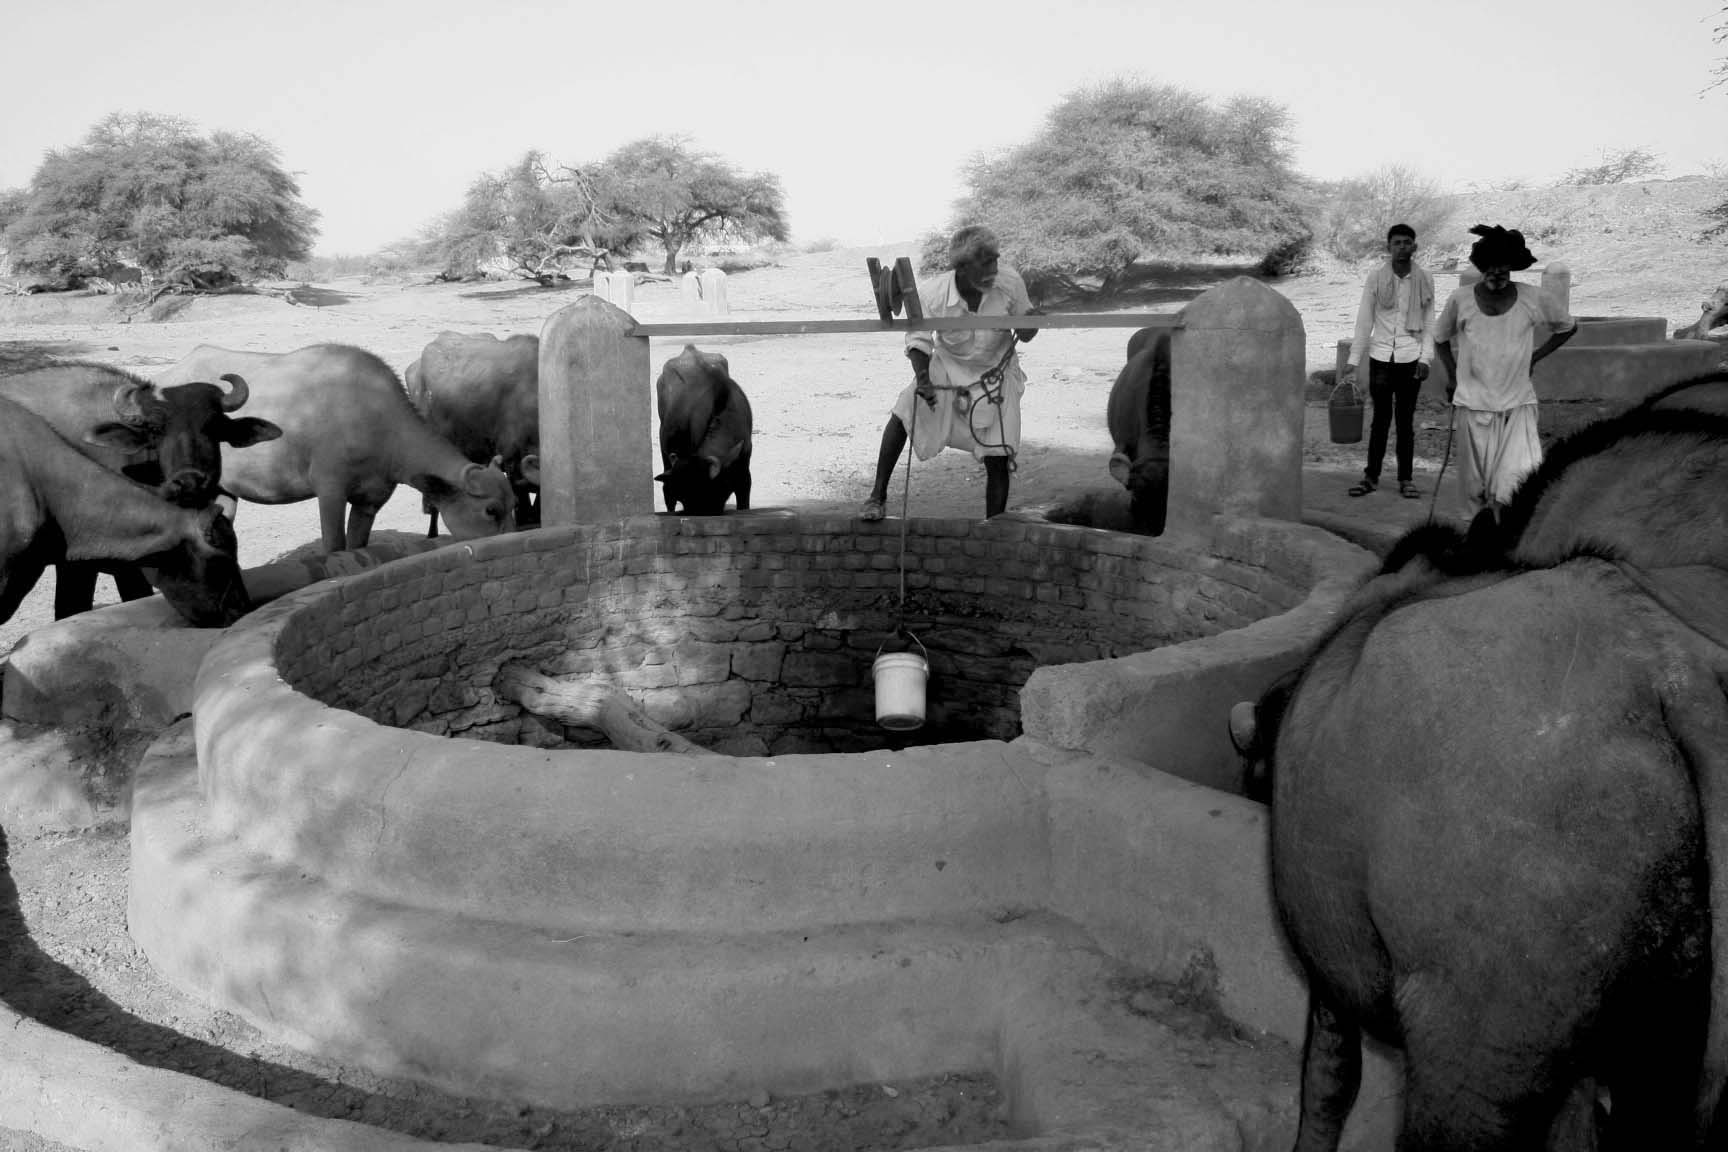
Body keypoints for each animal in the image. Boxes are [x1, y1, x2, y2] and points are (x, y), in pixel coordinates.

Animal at [157, 340, 511, 552]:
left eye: (514, 506)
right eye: (491, 510)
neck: (377, 420)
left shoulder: (370, 501)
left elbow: (356, 548)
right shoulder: (330, 491)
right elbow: (334, 547)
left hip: (224, 490)